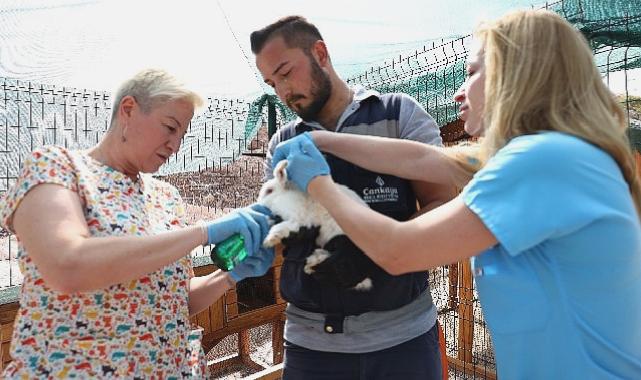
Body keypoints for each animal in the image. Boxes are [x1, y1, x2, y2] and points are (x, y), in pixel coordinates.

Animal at [258, 160, 372, 290]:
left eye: (269, 191)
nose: (259, 202)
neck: (282, 196)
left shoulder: (297, 219)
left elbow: (281, 227)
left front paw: (269, 240)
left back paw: (313, 263)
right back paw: (311, 264)